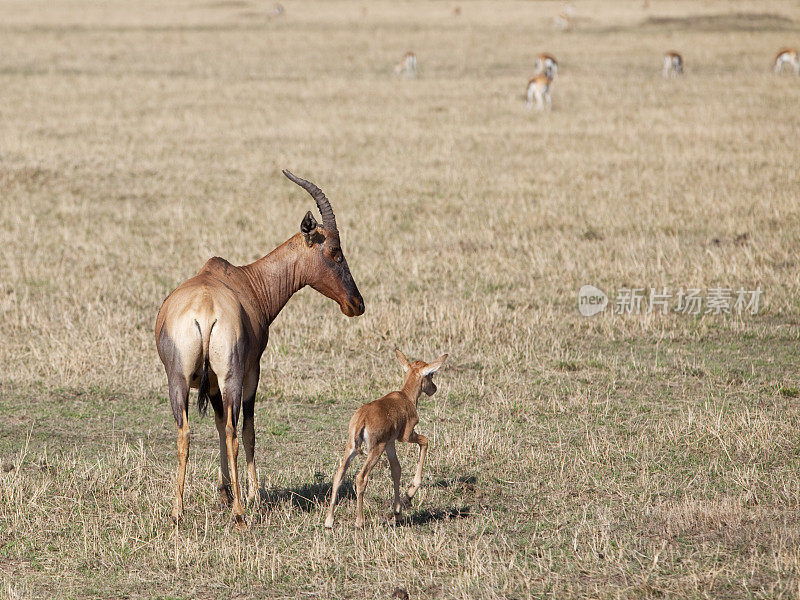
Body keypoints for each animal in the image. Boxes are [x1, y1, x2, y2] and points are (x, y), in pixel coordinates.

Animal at [154, 170, 366, 524]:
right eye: (335, 251)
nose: (356, 304)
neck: (245, 279)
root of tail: (204, 311)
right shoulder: (252, 371)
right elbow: (249, 430)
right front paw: (251, 495)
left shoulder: (211, 383)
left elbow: (215, 425)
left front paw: (224, 493)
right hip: (232, 377)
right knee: (233, 431)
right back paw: (241, 513)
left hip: (179, 380)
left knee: (186, 433)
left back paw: (177, 511)